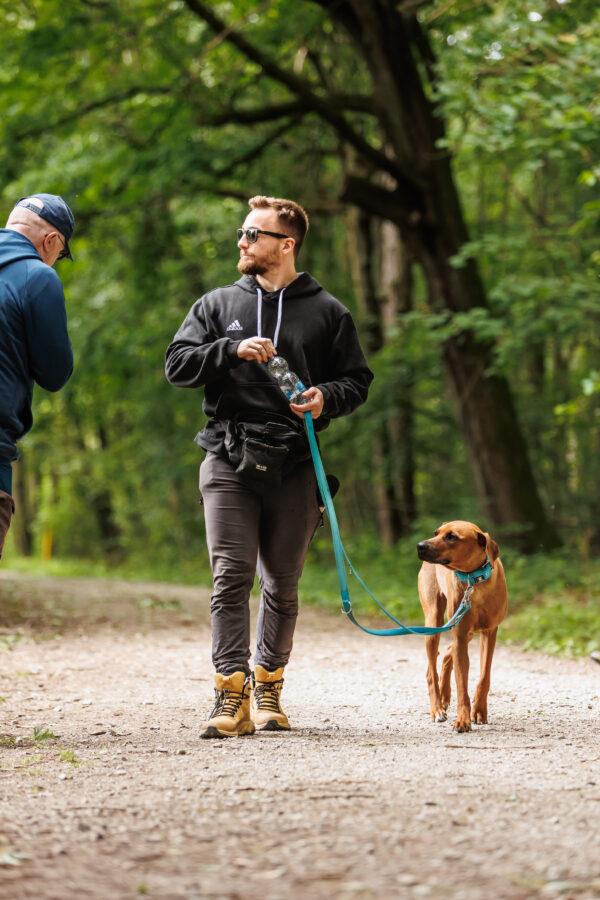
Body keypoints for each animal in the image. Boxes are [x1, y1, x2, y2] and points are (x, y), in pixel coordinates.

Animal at [418, 520, 506, 732]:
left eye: (452, 536)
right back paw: (437, 708)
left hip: (467, 631)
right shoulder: (460, 634)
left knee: (447, 653)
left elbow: (484, 677)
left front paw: (479, 710)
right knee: (431, 672)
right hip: (434, 623)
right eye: (436, 533)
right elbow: (462, 687)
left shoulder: (489, 632)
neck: (474, 580)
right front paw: (463, 720)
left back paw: (444, 695)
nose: (420, 546)